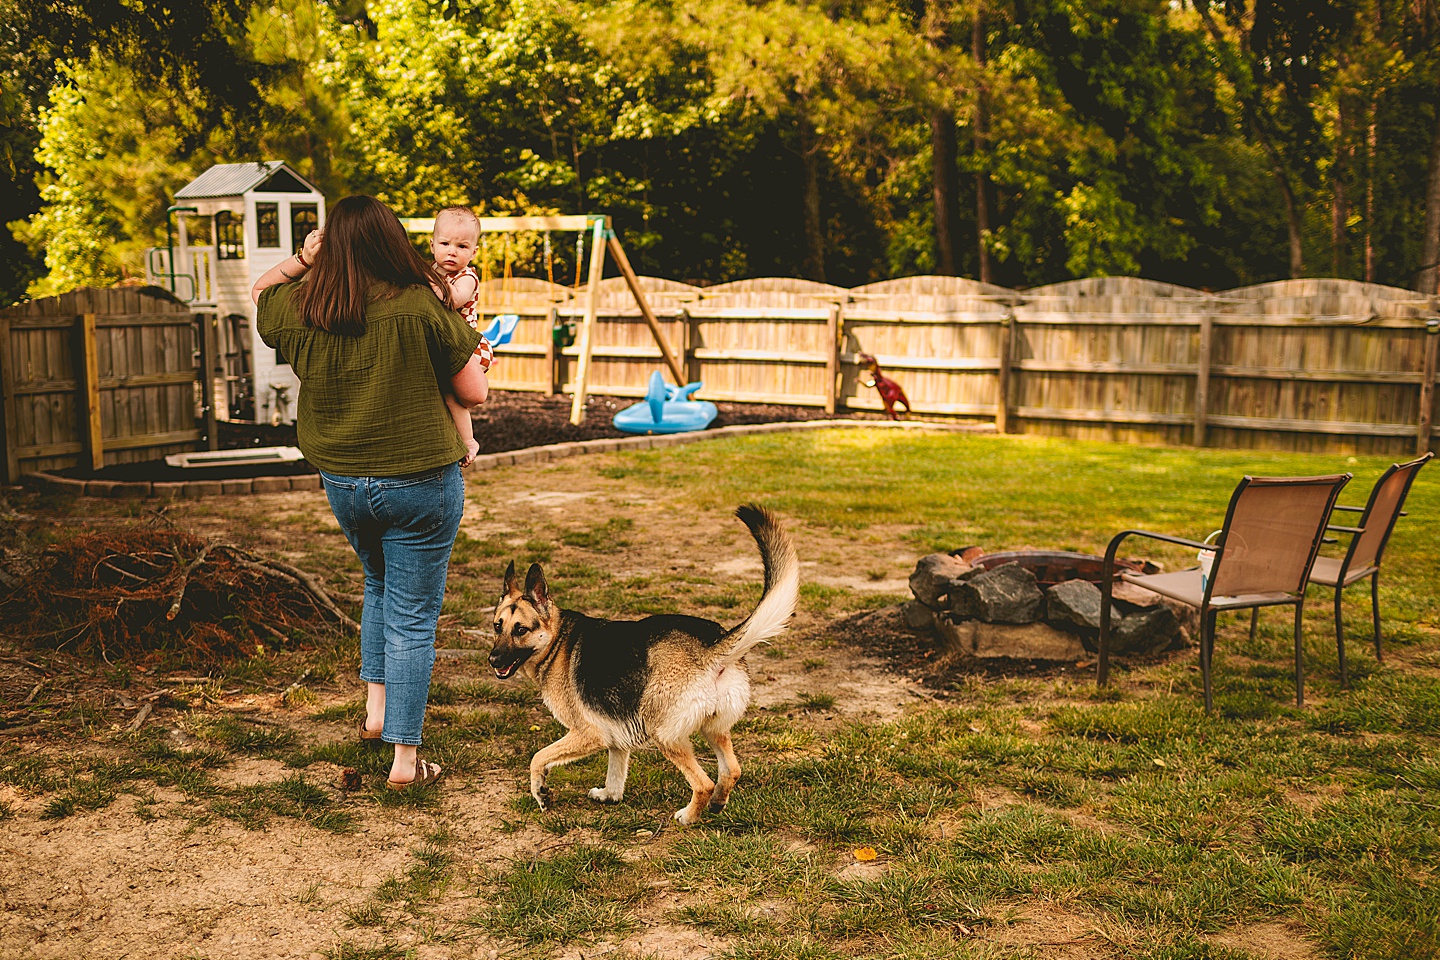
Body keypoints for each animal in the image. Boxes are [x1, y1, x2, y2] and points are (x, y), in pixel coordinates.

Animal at [486, 503, 800, 829]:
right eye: (497, 626)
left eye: (520, 630)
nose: (493, 661)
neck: (558, 640)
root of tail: (713, 645)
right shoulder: (616, 738)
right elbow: (615, 775)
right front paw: (608, 797)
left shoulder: (588, 734)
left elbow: (538, 757)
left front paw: (541, 792)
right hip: (713, 729)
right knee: (731, 771)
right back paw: (716, 804)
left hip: (664, 735)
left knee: (703, 783)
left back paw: (688, 816)